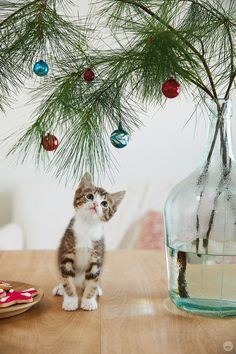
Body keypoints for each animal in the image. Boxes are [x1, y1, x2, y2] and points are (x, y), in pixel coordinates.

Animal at [53, 173, 125, 312]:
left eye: (104, 203)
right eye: (90, 196)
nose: (96, 204)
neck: (87, 227)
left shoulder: (97, 257)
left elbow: (92, 281)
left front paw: (88, 301)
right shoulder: (66, 254)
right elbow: (67, 280)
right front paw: (70, 301)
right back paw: (60, 288)